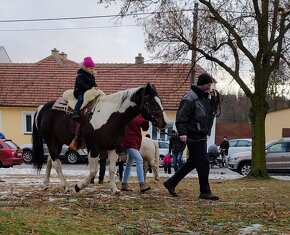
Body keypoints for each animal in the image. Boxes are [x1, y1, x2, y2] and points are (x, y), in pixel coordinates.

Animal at [32, 83, 168, 194]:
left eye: (160, 100)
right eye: (150, 101)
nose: (164, 122)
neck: (110, 117)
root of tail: (42, 108)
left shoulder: (113, 148)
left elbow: (112, 169)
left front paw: (114, 189)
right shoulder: (94, 148)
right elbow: (93, 171)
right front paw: (78, 186)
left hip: (57, 143)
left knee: (49, 162)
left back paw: (46, 185)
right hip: (51, 141)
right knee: (57, 164)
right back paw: (66, 186)